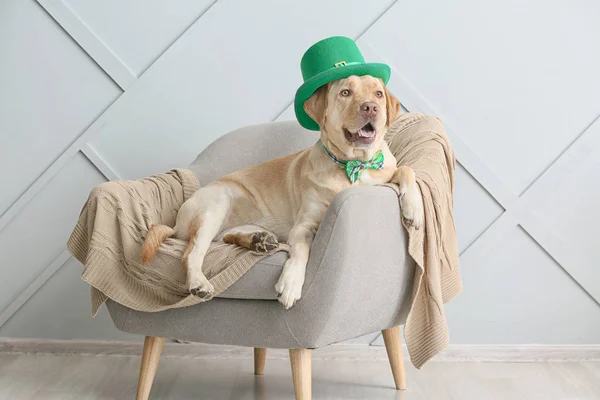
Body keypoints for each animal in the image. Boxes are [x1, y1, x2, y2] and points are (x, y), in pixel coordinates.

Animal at [141, 76, 424, 310]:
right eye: (345, 92)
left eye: (378, 94)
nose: (371, 107)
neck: (352, 165)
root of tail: (176, 222)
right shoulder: (303, 226)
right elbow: (301, 251)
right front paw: (290, 283)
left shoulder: (387, 171)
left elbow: (407, 169)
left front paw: (413, 209)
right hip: (216, 204)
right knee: (193, 252)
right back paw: (200, 281)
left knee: (225, 237)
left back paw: (258, 240)